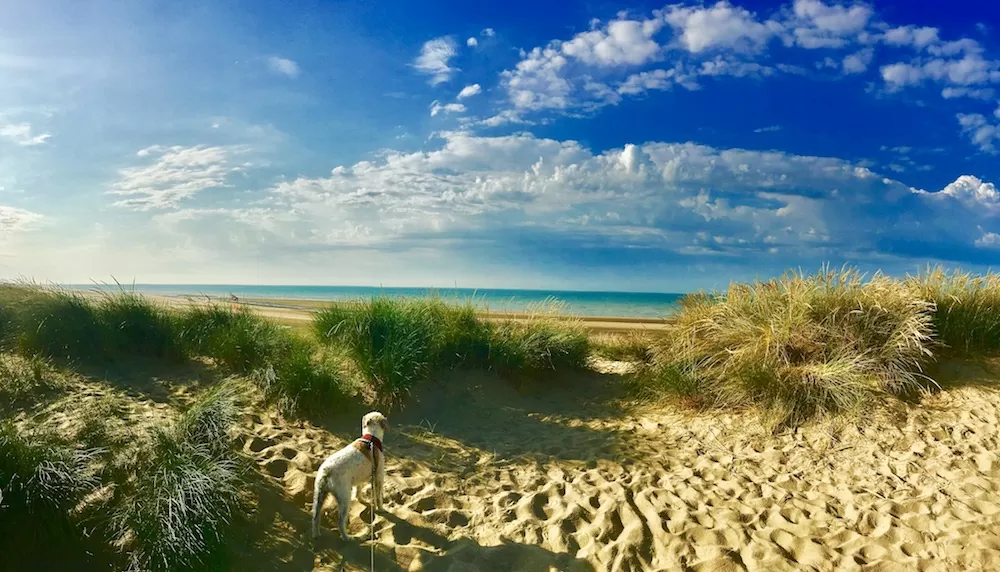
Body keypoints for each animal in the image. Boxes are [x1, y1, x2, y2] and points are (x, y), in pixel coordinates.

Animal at [312, 408, 390, 540]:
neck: (372, 437)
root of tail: (327, 470)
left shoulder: (361, 479)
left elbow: (358, 490)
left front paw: (361, 499)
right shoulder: (379, 477)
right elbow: (379, 497)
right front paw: (381, 509)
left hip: (319, 495)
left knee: (315, 517)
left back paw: (316, 534)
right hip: (344, 498)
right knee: (340, 521)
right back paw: (346, 537)